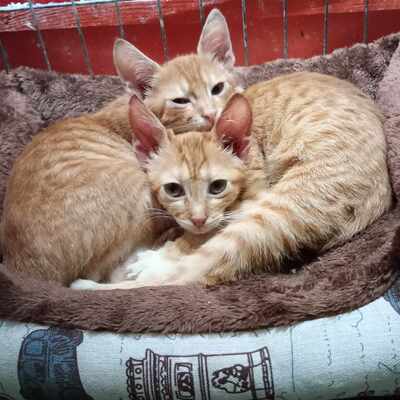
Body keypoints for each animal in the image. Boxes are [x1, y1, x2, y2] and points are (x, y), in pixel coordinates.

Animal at [71, 67, 390, 290]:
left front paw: (166, 251)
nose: (197, 219)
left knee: (188, 275)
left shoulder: (252, 199)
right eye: (173, 190)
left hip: (283, 206)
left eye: (217, 186)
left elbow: (204, 234)